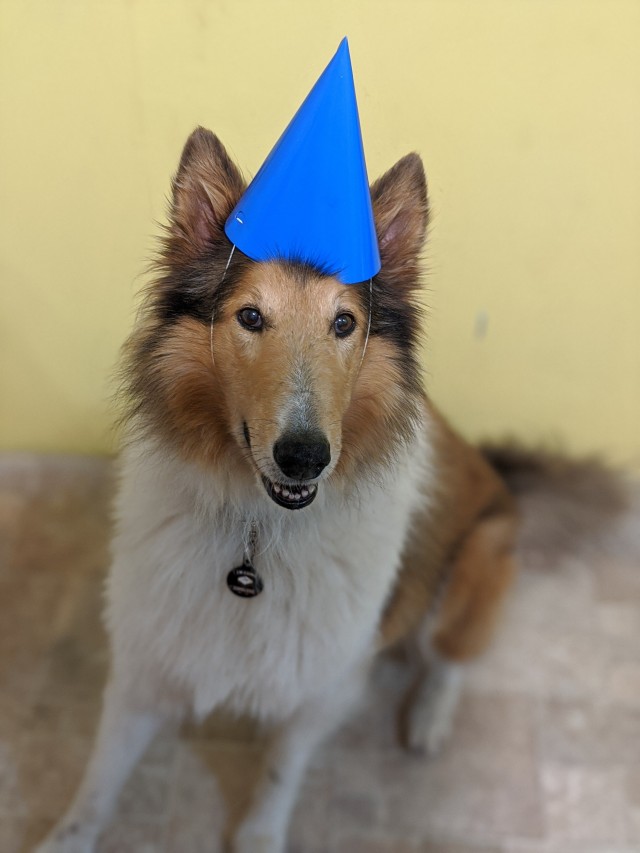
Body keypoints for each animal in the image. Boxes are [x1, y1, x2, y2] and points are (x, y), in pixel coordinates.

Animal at [35, 128, 636, 852]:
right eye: (250, 316)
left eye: (344, 323)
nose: (304, 459)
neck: (257, 533)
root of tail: (503, 480)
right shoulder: (146, 661)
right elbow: (96, 783)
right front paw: (66, 836)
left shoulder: (322, 686)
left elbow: (279, 770)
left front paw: (259, 835)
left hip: (471, 561)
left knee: (451, 657)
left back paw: (429, 719)